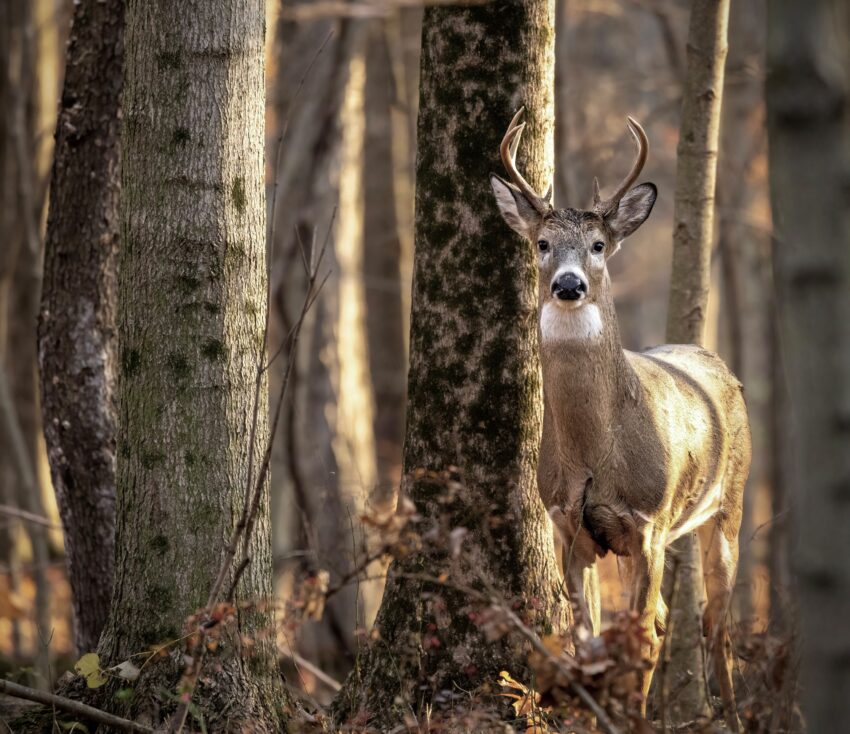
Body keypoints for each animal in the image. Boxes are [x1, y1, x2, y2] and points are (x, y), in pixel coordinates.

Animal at [490, 109, 751, 731]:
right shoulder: (568, 523)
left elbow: (643, 644)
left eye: (599, 244)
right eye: (542, 243)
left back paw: (731, 715)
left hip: (728, 504)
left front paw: (633, 718)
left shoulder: (648, 521)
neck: (594, 453)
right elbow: (587, 641)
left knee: (714, 625)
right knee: (667, 617)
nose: (568, 284)